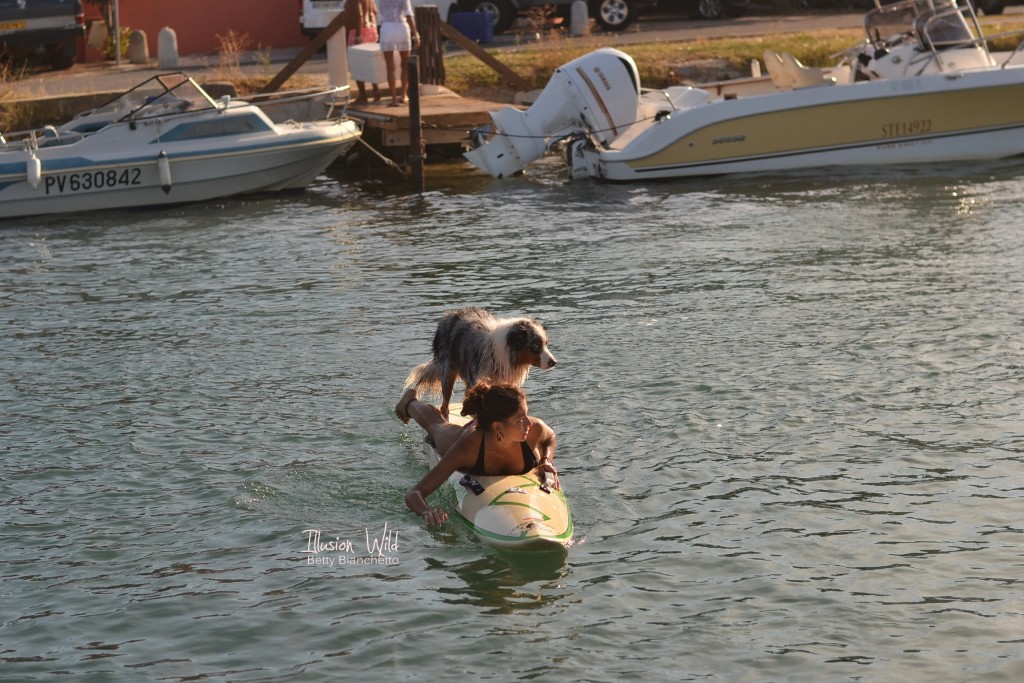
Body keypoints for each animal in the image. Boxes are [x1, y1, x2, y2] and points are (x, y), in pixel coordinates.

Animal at [401, 309, 561, 417]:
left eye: (546, 344)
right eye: (535, 346)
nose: (553, 362)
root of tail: (448, 316)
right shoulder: (476, 382)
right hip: (447, 373)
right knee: (444, 406)